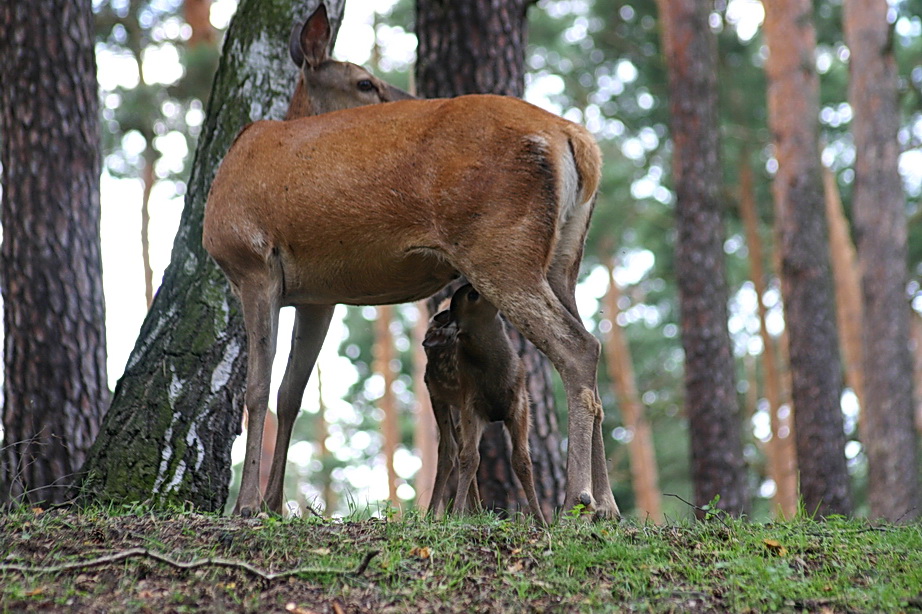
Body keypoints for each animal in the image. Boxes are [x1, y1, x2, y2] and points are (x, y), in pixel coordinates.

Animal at [201, 2, 620, 524]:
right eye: (364, 82)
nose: (410, 97)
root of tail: (576, 140)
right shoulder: (318, 297)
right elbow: (289, 392)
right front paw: (275, 503)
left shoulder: (251, 260)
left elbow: (256, 388)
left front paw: (247, 506)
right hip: (563, 259)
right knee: (593, 343)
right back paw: (608, 505)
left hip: (500, 244)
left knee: (577, 347)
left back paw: (577, 499)